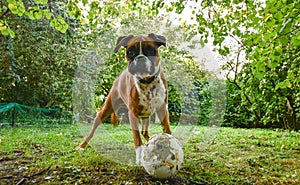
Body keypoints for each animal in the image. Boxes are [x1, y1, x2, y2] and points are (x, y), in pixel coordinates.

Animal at [77, 33, 171, 165]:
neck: (147, 82)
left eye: (150, 50)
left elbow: (167, 129)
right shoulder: (133, 114)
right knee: (91, 131)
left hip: (146, 116)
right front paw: (139, 157)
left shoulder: (162, 109)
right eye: (130, 52)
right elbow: (137, 138)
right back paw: (82, 146)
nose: (140, 58)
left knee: (144, 132)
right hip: (105, 110)